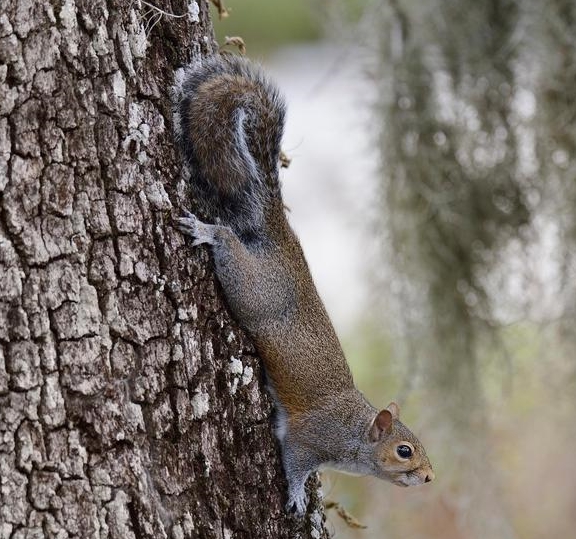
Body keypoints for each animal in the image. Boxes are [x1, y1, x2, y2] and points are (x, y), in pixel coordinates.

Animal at [173, 53, 434, 516]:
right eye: (404, 450)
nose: (429, 476)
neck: (354, 432)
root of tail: (281, 237)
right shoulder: (308, 439)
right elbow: (294, 461)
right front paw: (296, 496)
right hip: (252, 288)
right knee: (228, 245)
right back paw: (208, 231)